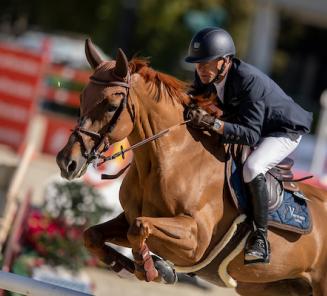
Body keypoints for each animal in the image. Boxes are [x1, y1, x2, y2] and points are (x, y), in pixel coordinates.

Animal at [56, 40, 327, 296]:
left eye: (112, 106)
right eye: (82, 98)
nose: (66, 162)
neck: (169, 159)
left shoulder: (196, 240)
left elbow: (140, 227)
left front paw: (155, 269)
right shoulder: (128, 217)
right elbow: (93, 235)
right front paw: (128, 267)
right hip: (269, 286)